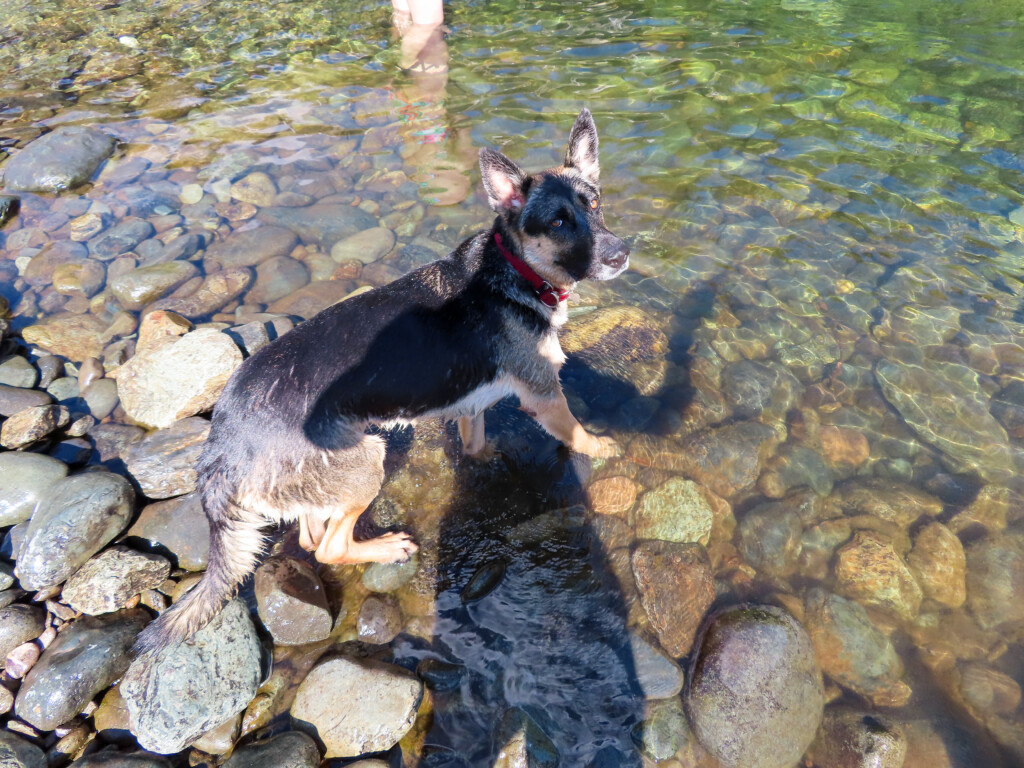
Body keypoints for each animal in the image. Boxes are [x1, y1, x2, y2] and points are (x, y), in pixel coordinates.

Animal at [132, 108, 626, 659]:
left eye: (595, 205)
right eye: (558, 223)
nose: (621, 253)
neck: (516, 267)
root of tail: (222, 444)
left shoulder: (471, 406)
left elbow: (475, 444)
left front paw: (488, 460)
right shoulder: (544, 394)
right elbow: (575, 430)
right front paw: (603, 447)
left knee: (311, 535)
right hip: (367, 459)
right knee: (330, 546)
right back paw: (387, 547)